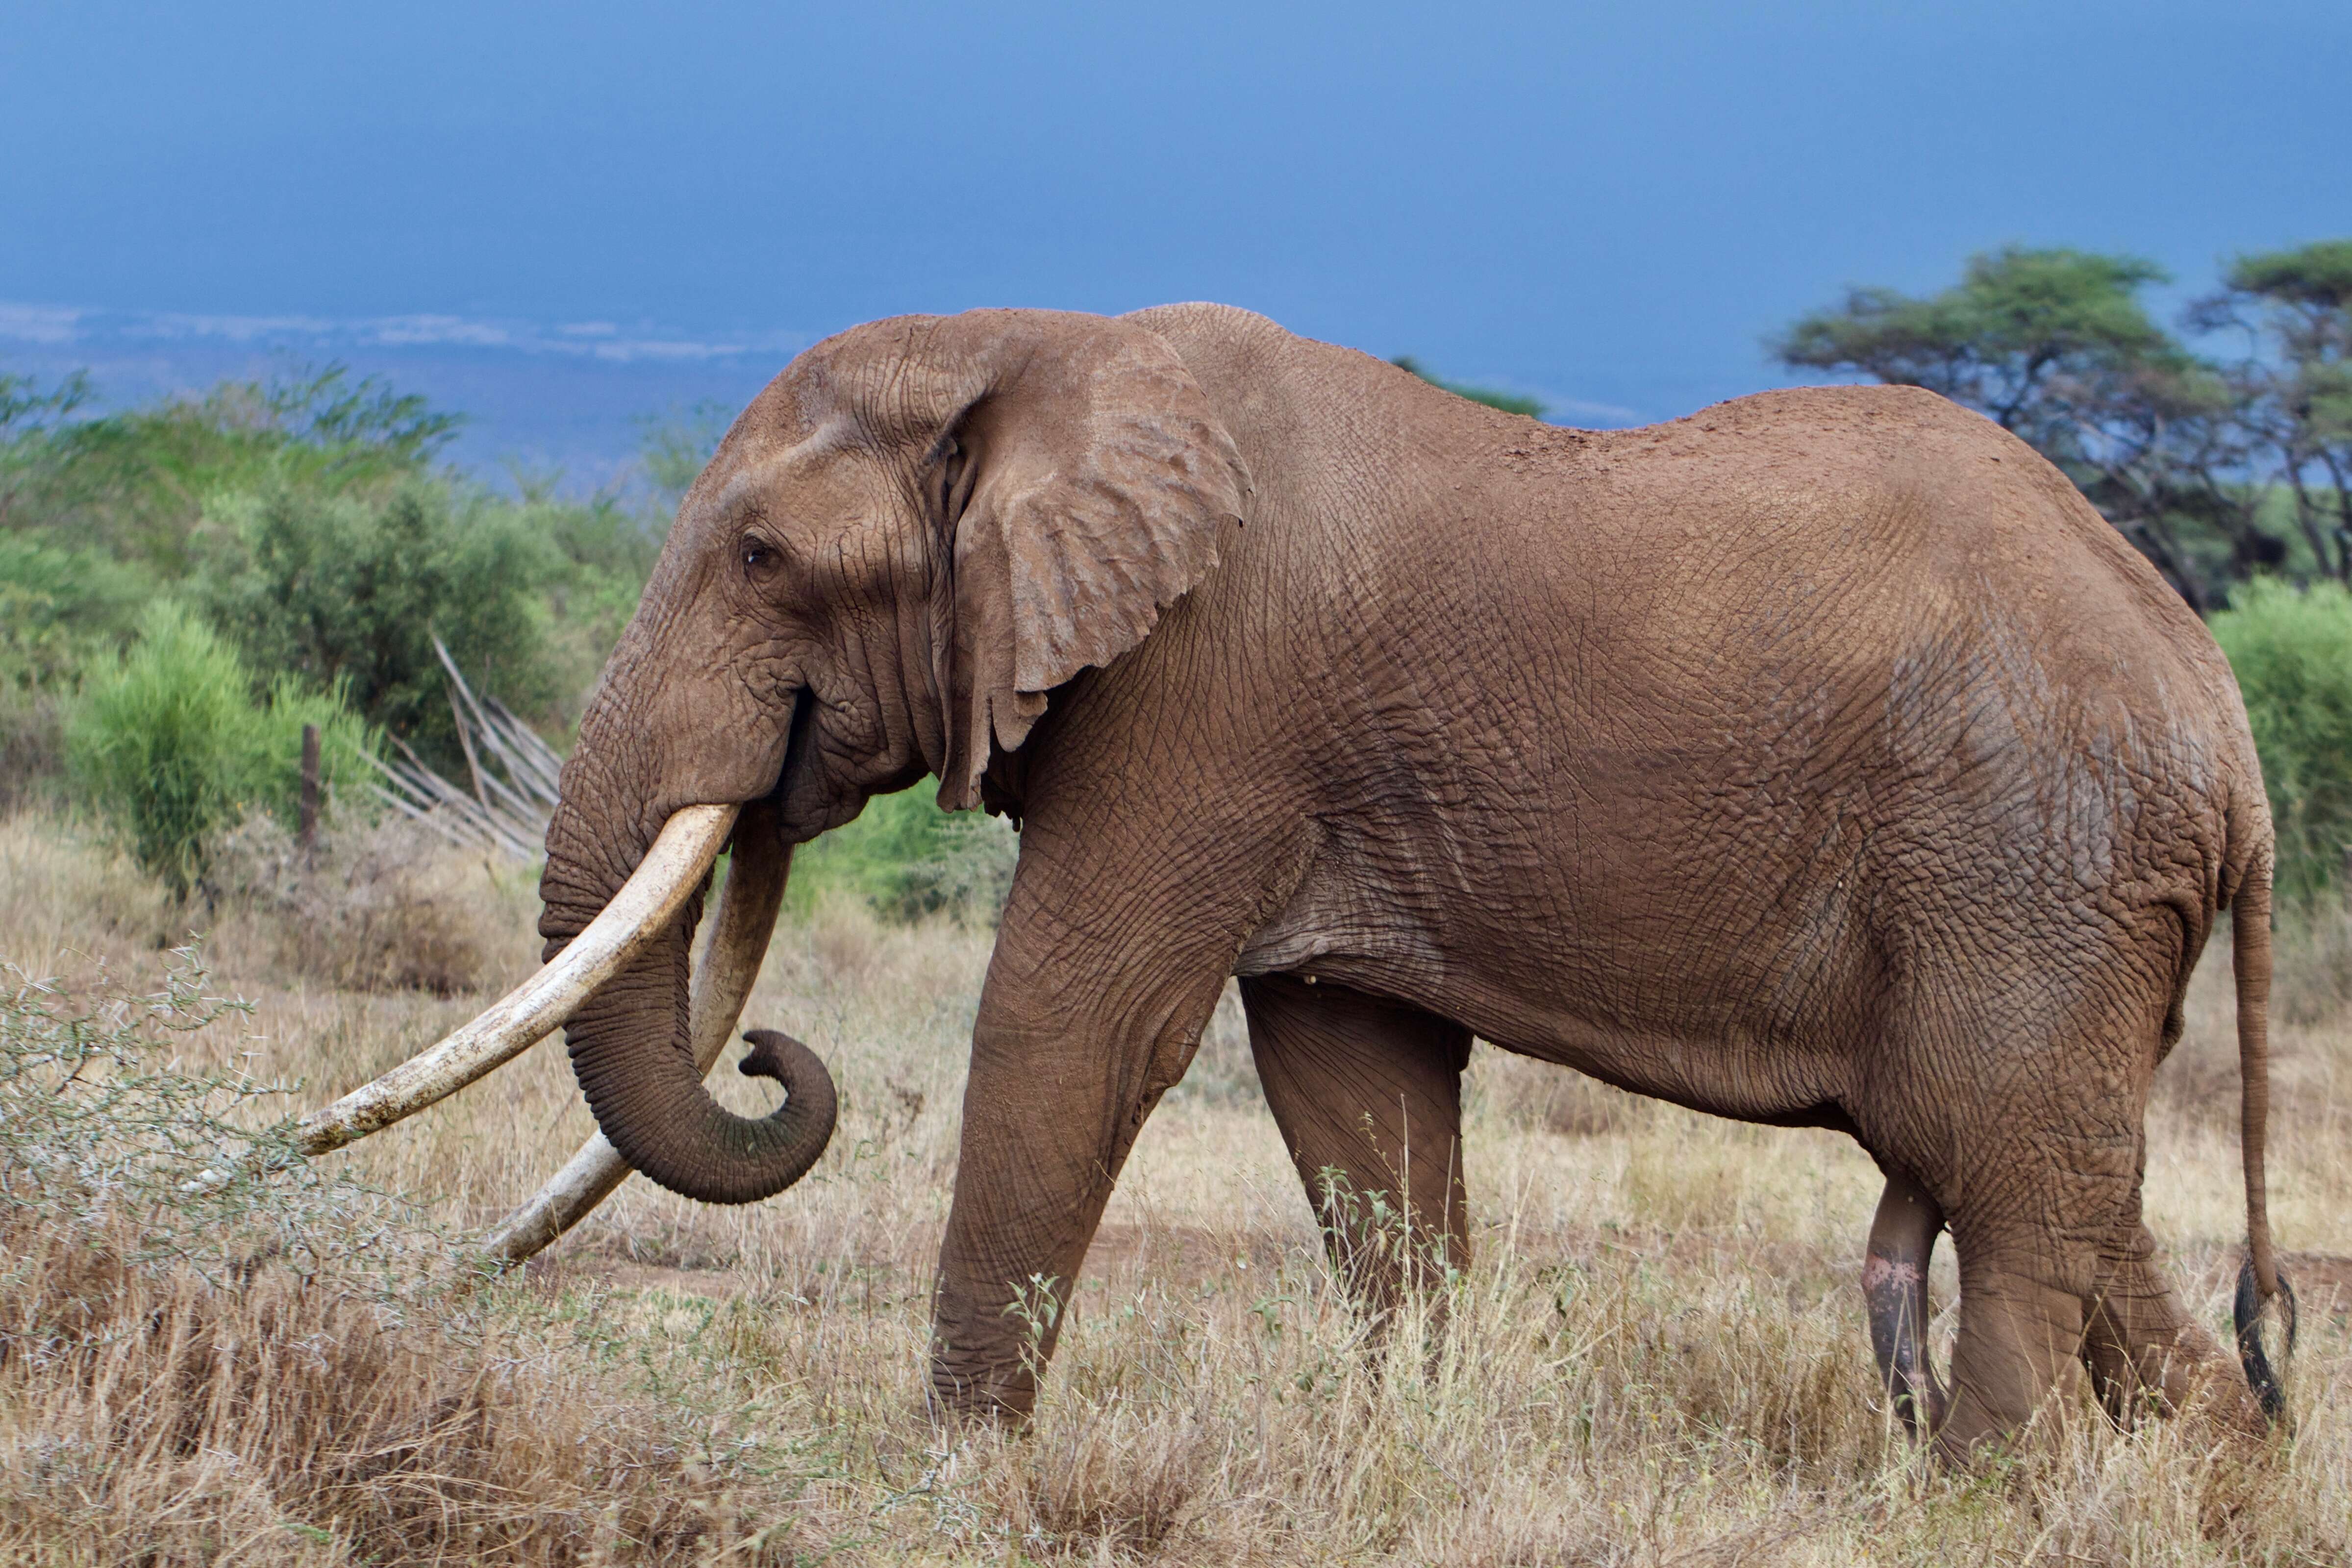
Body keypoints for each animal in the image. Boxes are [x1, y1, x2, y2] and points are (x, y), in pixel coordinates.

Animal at [322, 300, 2286, 1457]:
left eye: (754, 554)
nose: (761, 1051)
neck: (1040, 345)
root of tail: (2230, 729)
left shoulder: (1203, 696)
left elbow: (1072, 1025)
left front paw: (954, 1477)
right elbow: (1355, 1092)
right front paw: (1406, 1445)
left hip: (2029, 864)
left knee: (2012, 1189)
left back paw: (1983, 1492)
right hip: (2066, 896)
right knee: (2069, 1195)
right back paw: (2220, 1474)